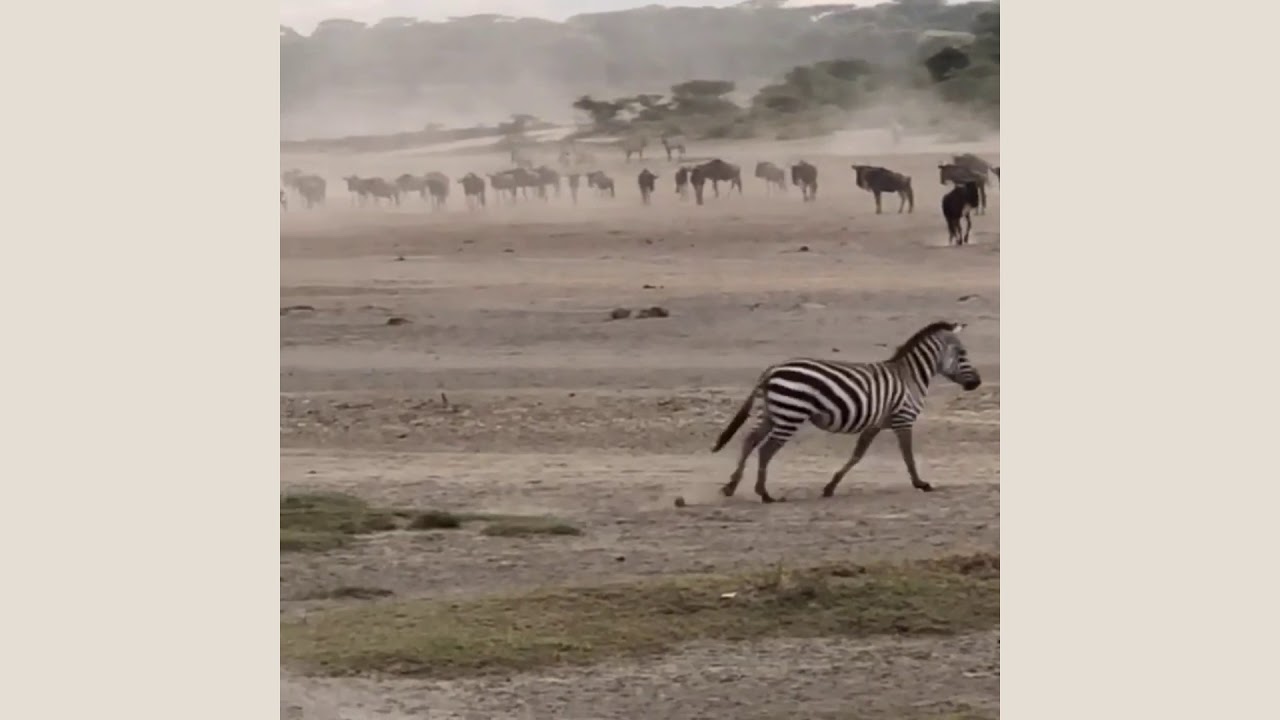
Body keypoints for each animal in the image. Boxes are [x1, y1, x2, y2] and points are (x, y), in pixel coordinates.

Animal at [712, 321, 982, 504]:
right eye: (962, 354)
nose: (977, 383)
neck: (910, 377)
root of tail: (772, 369)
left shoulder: (875, 424)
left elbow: (857, 456)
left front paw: (830, 487)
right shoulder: (903, 419)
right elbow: (908, 455)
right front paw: (921, 483)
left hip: (771, 412)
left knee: (749, 441)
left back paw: (731, 486)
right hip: (791, 413)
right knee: (766, 449)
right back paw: (765, 494)